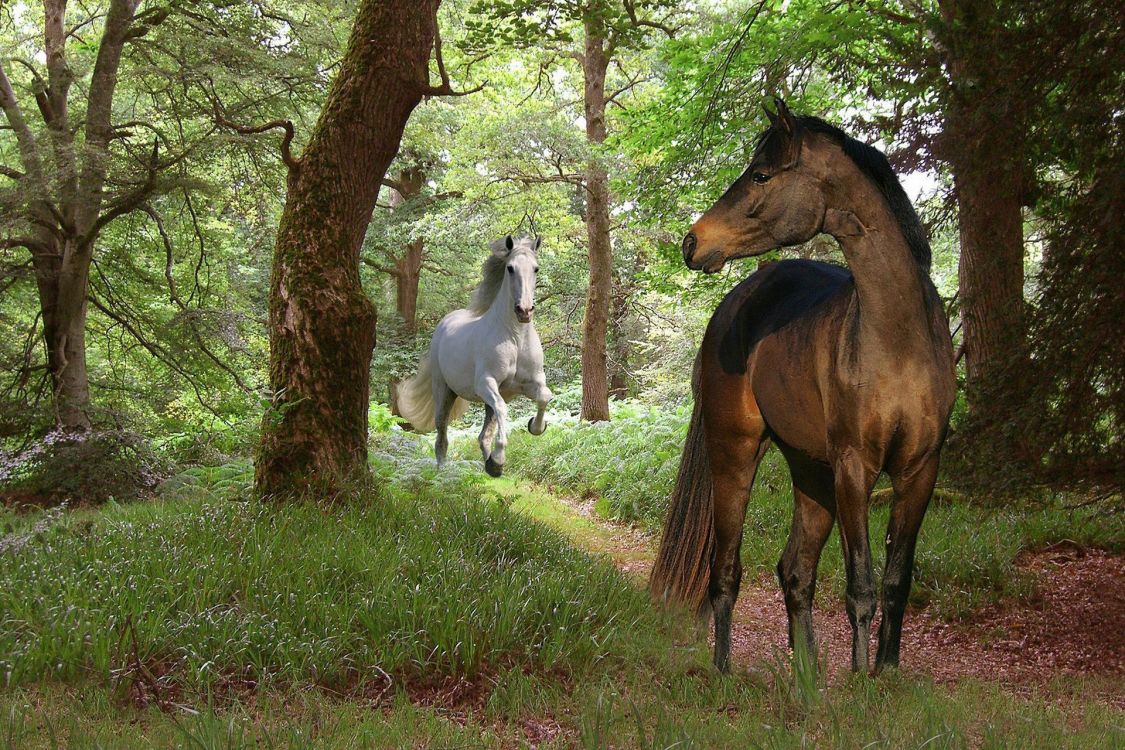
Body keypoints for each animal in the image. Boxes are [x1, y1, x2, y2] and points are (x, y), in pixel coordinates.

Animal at [397, 235, 553, 477]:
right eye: (510, 268)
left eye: (536, 268)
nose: (524, 311)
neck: (515, 338)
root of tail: (445, 322)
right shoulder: (485, 383)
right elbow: (503, 409)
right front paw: (499, 460)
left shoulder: (531, 383)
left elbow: (545, 397)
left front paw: (535, 427)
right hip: (444, 391)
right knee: (442, 437)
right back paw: (444, 474)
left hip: (485, 399)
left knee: (483, 435)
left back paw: (489, 465)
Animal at [649, 99, 956, 675]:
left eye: (761, 174)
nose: (692, 242)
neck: (899, 338)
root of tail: (736, 303)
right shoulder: (856, 468)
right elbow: (861, 586)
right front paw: (860, 680)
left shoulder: (920, 471)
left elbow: (896, 581)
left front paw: (885, 674)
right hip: (736, 455)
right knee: (725, 570)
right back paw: (723, 671)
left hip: (810, 470)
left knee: (794, 571)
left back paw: (807, 676)